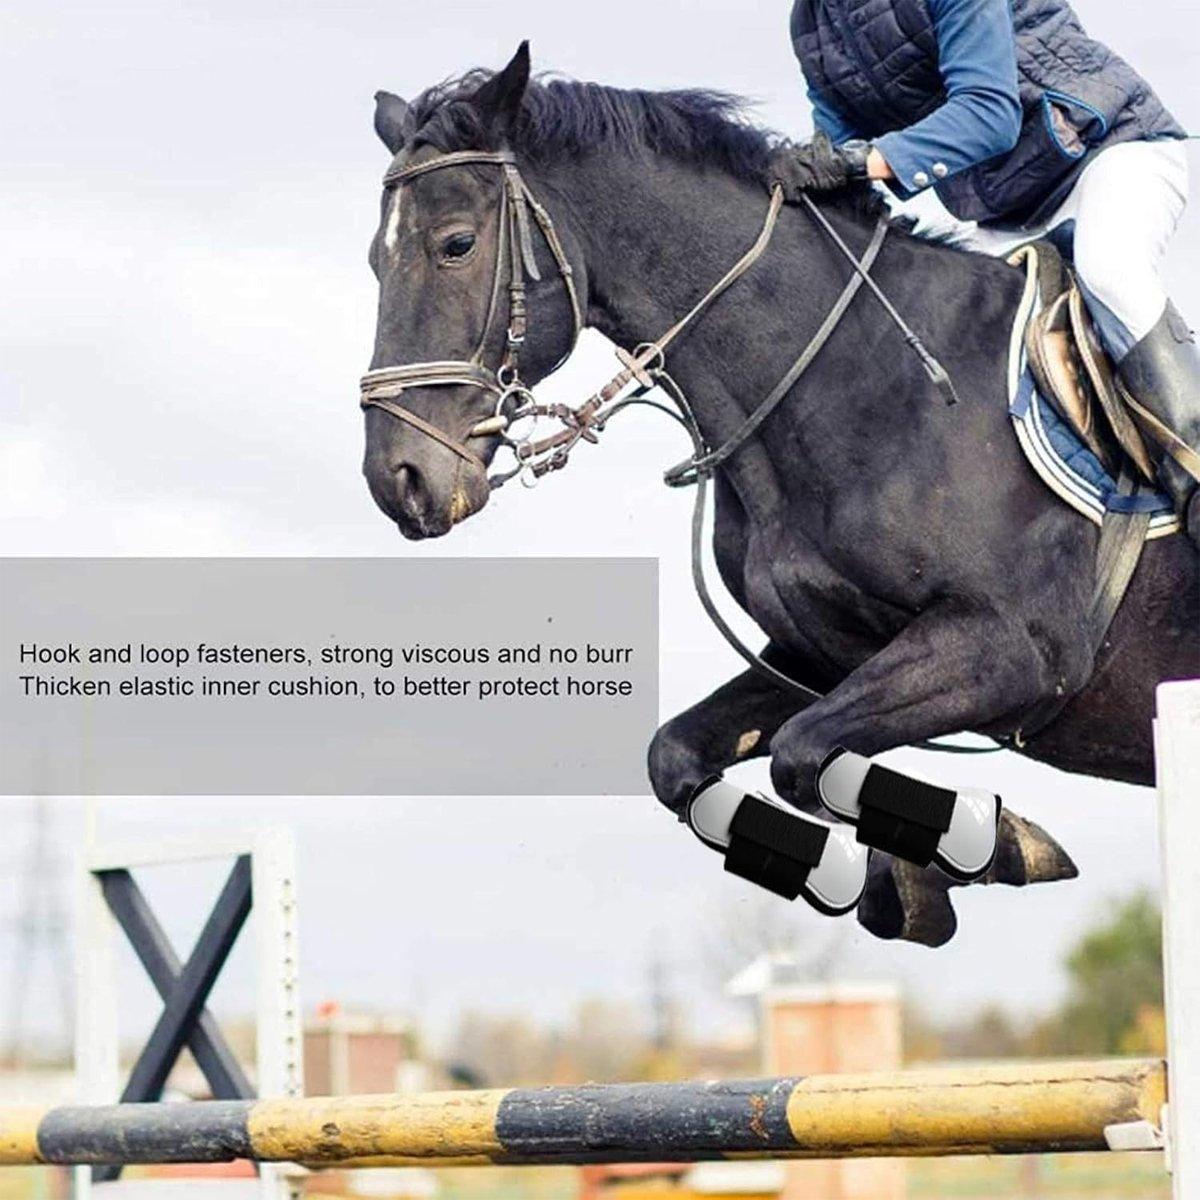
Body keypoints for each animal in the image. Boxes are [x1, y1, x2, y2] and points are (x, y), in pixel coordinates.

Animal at [358, 44, 1199, 946]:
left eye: (455, 244)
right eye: (376, 260)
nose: (400, 481)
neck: (853, 378)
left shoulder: (1013, 648)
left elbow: (803, 755)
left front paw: (986, 844)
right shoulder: (818, 656)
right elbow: (691, 756)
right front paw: (914, 871)